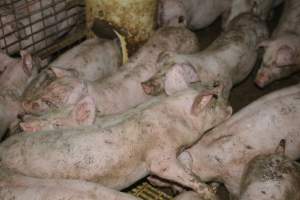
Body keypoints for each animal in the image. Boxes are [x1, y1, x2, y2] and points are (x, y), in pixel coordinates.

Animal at [0, 86, 232, 200]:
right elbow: (178, 172)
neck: (174, 120)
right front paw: (209, 194)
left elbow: (187, 159)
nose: (230, 108)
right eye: (212, 105)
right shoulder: (160, 157)